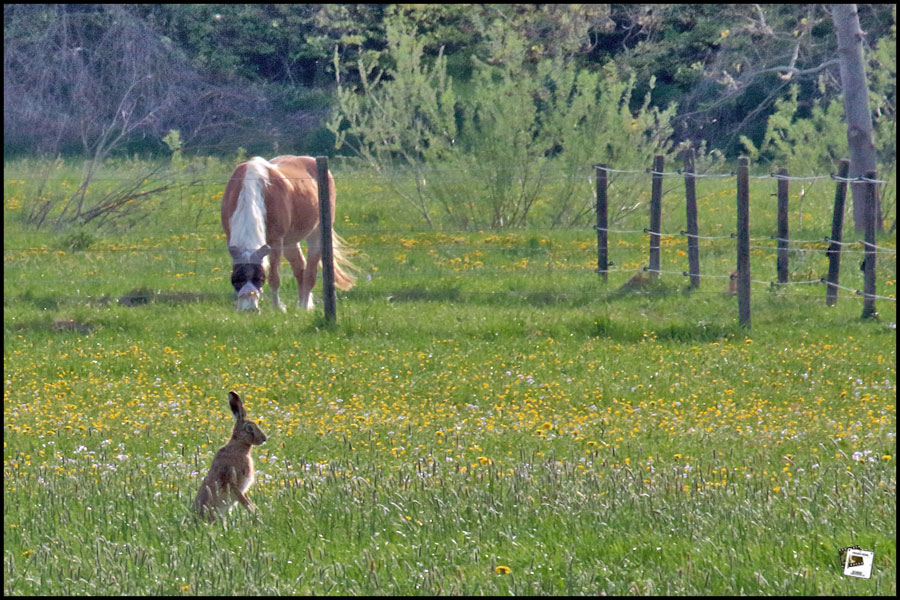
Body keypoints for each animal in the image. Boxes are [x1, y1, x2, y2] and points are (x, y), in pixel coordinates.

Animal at [220, 155, 356, 312]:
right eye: (236, 279)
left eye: (260, 279)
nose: (249, 309)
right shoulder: (230, 237)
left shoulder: (276, 242)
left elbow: (274, 277)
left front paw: (277, 307)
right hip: (290, 242)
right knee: (300, 269)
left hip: (316, 234)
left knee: (310, 273)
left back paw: (304, 307)